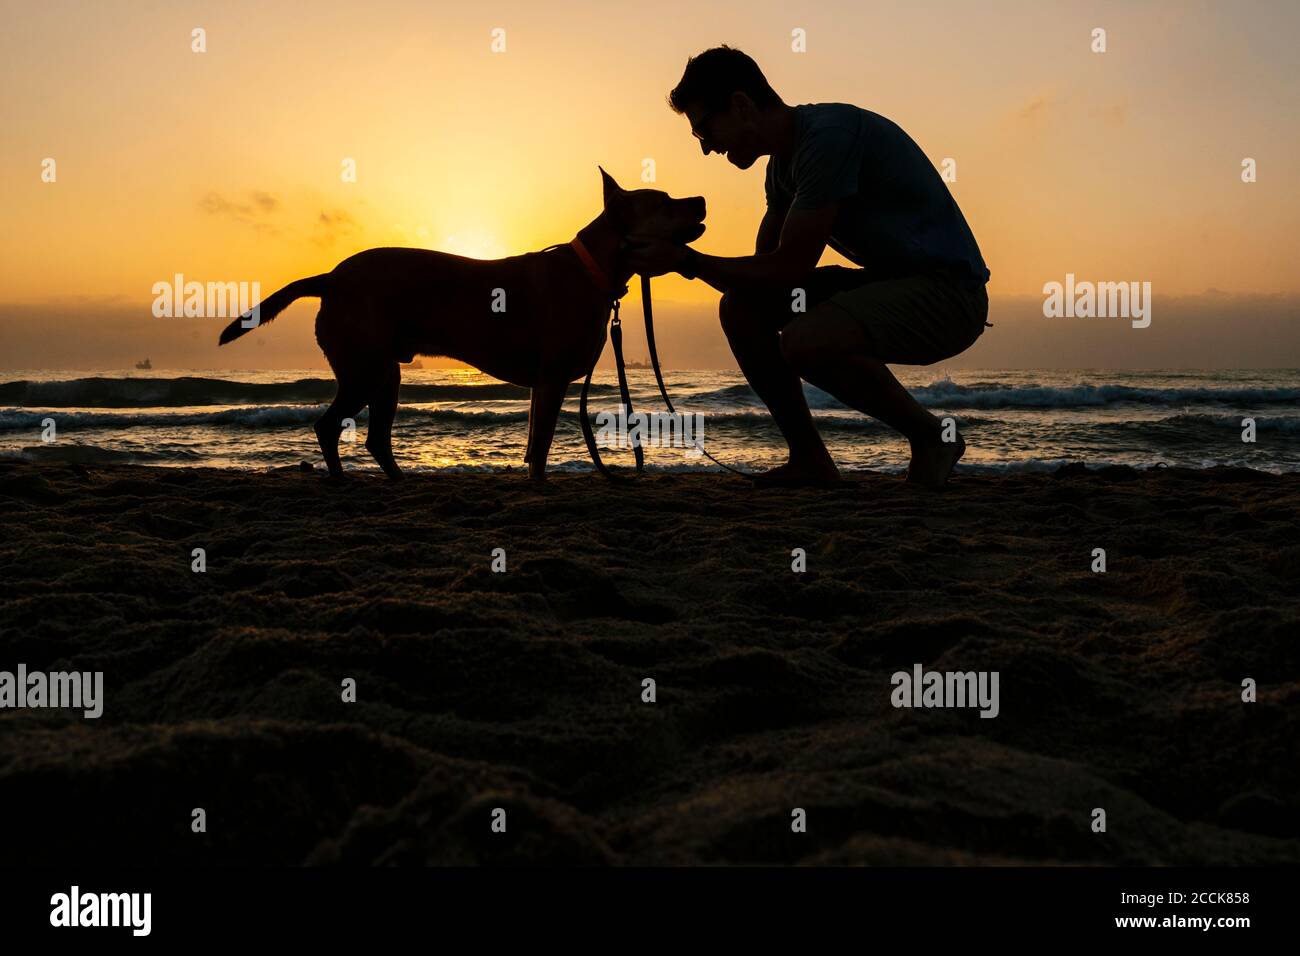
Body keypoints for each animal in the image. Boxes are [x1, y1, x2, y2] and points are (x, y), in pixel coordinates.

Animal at [218, 169, 707, 481]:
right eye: (665, 202)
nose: (702, 199)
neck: (593, 269)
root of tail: (331, 277)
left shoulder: (540, 386)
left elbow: (534, 443)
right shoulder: (551, 381)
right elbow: (542, 450)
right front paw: (540, 487)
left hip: (382, 373)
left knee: (375, 438)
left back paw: (398, 481)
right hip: (366, 369)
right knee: (330, 426)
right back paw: (343, 480)